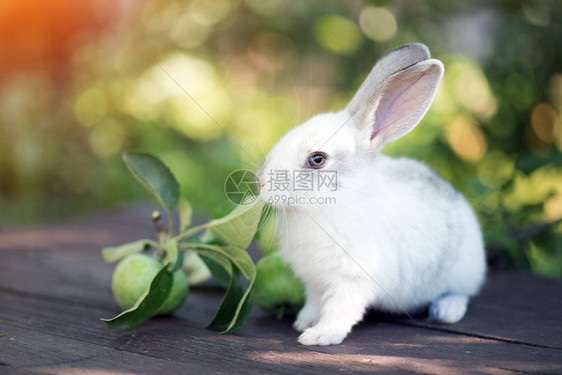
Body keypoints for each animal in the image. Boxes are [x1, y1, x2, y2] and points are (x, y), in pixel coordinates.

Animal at [256, 44, 484, 346]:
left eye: (317, 160)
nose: (260, 181)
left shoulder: (352, 281)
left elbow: (339, 310)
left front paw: (317, 336)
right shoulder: (314, 282)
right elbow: (314, 303)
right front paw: (304, 322)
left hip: (462, 272)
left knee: (461, 293)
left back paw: (446, 311)